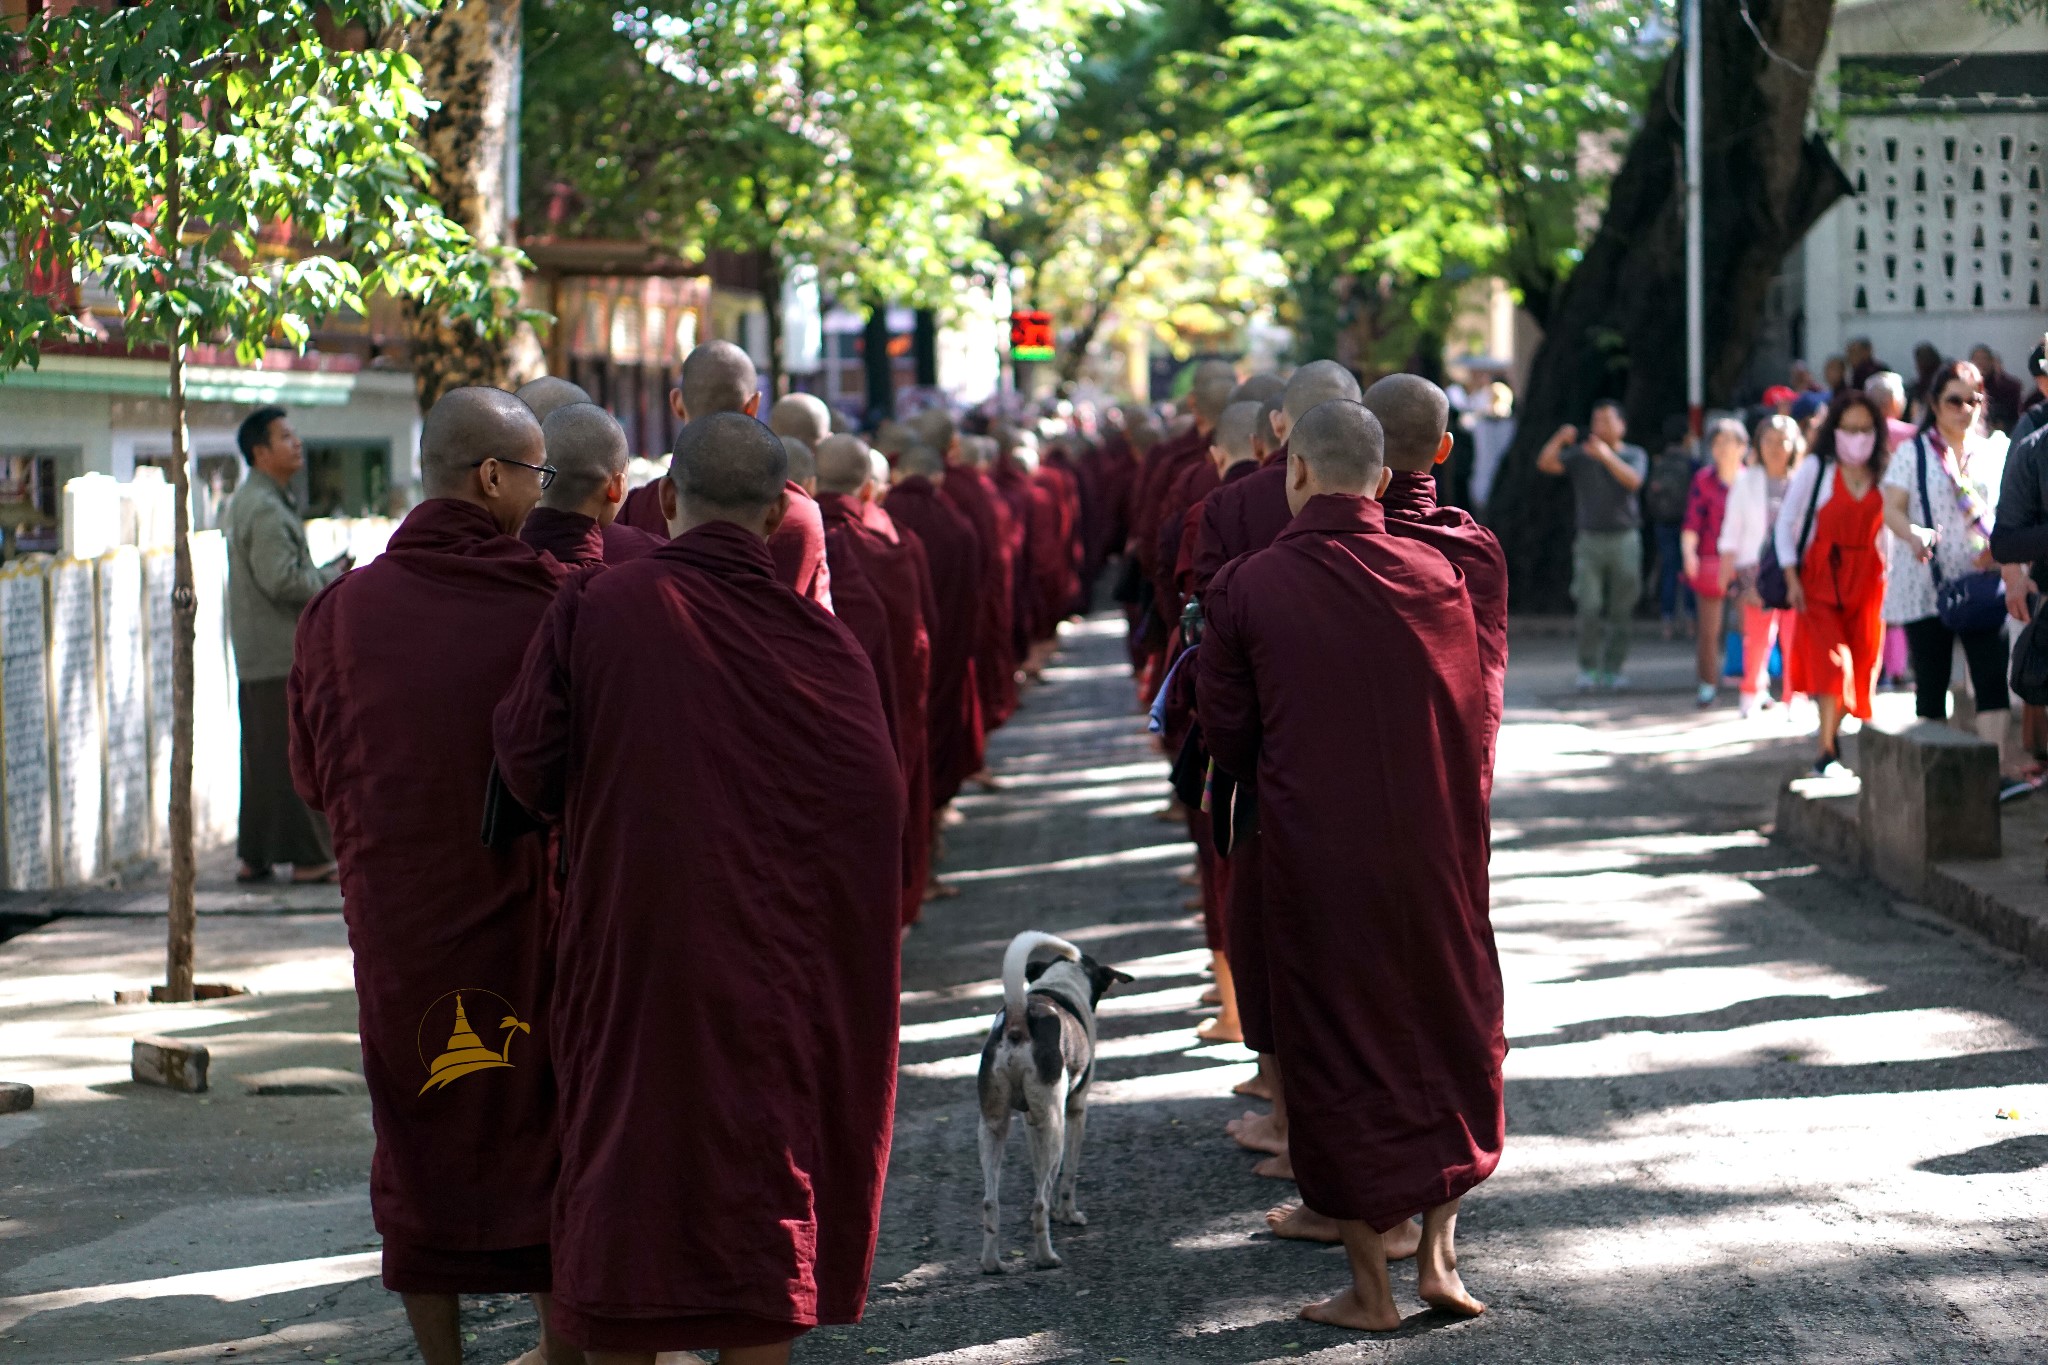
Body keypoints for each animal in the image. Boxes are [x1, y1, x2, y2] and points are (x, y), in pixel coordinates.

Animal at [974, 929, 1138, 1268]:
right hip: (1055, 1125)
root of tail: (1019, 1019)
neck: (1061, 983)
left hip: (993, 1126)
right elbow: (1068, 1175)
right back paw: (1047, 1257)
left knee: (990, 1201)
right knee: (1039, 1203)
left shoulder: (1029, 1120)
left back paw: (993, 1264)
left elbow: (1041, 1172)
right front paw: (1068, 1215)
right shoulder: (1075, 1111)